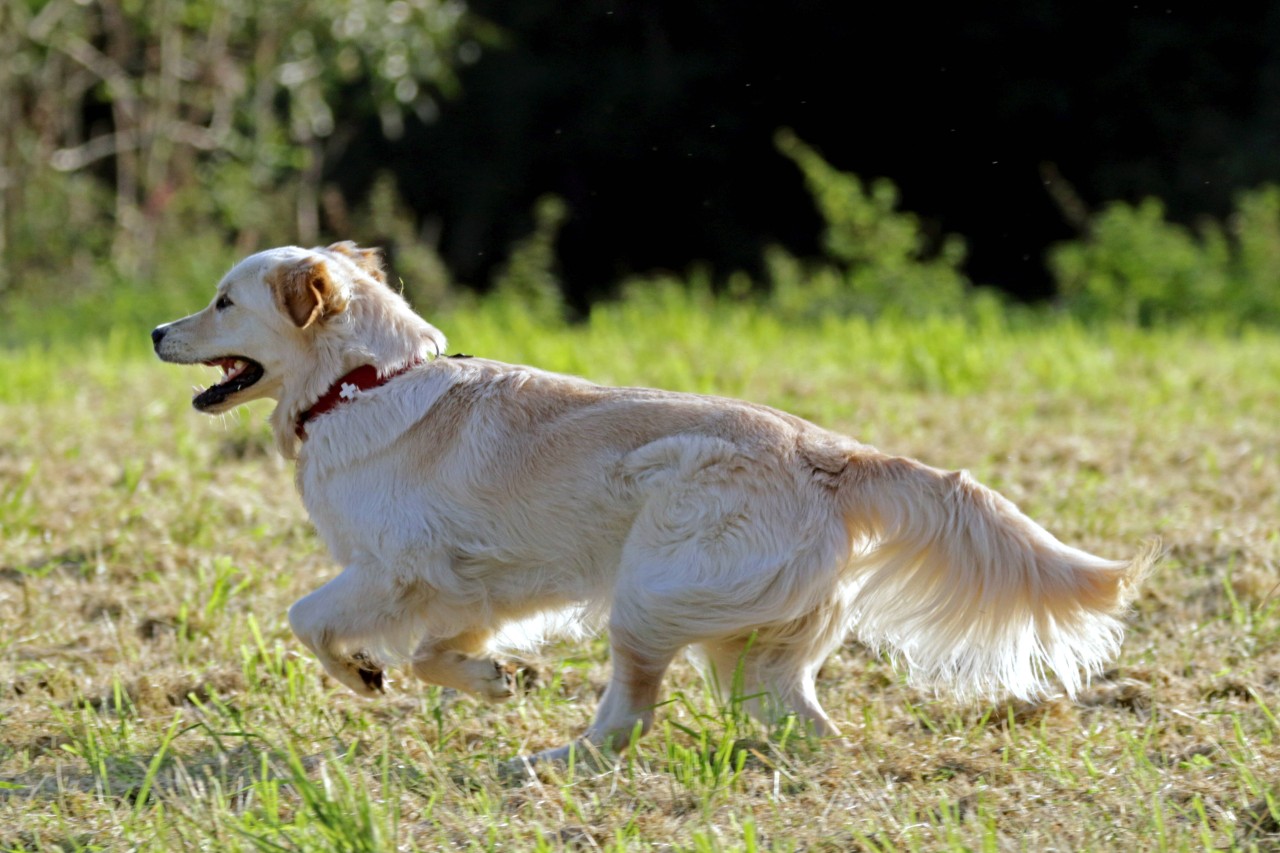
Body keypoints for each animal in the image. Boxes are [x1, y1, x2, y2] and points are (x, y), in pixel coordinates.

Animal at [154, 242, 1157, 758]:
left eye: (223, 302)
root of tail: (833, 455)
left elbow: (308, 617)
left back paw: (546, 761)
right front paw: (488, 677)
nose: (158, 328)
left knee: (626, 717)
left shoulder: (395, 568)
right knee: (809, 725)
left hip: (647, 599)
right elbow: (443, 650)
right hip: (750, 651)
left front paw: (366, 672)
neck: (362, 381)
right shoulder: (475, 585)